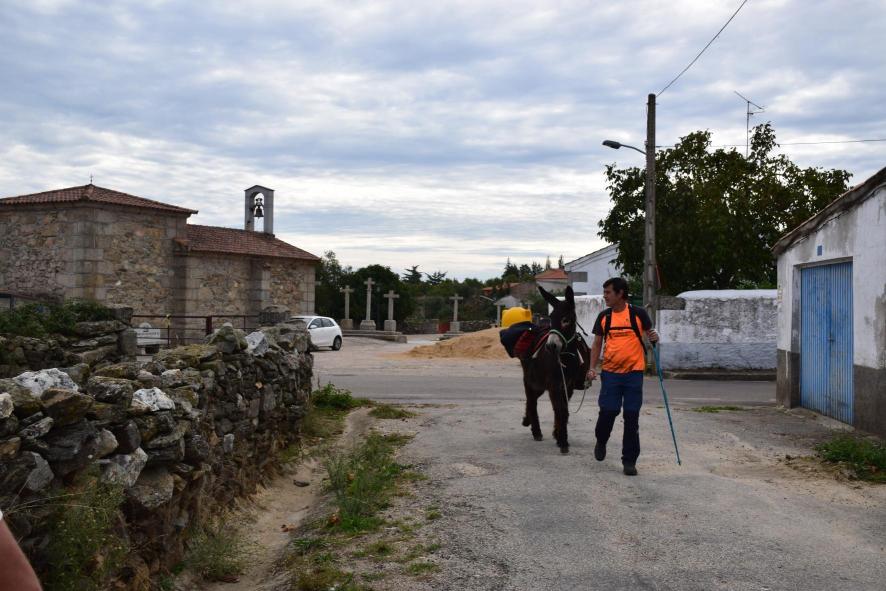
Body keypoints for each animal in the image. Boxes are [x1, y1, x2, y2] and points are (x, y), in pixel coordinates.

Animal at [520, 285, 590, 454]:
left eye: (566, 320)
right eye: (551, 318)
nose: (551, 346)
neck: (566, 357)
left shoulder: (568, 386)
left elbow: (563, 411)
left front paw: (558, 435)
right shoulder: (554, 384)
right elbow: (560, 410)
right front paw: (563, 441)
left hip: (540, 384)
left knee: (533, 399)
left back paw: (527, 421)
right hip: (530, 380)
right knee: (531, 400)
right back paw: (536, 431)